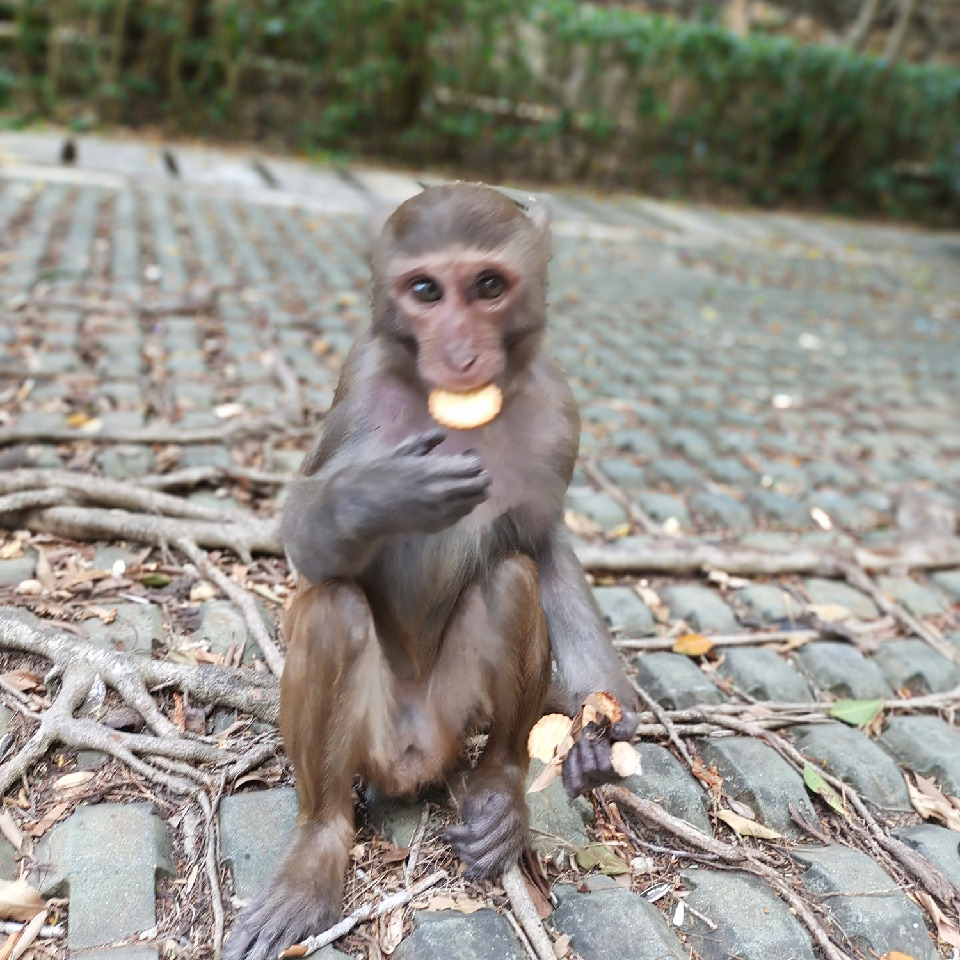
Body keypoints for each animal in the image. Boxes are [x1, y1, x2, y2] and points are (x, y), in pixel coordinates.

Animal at [223, 184, 636, 956]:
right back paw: (318, 849)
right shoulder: (357, 388)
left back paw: (501, 795)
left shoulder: (557, 407)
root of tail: (413, 758)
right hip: (373, 735)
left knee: (511, 581)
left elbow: (543, 545)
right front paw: (379, 494)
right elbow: (304, 538)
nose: (462, 352)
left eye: (489, 287)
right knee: (333, 609)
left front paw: (598, 723)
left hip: (453, 718)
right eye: (424, 290)